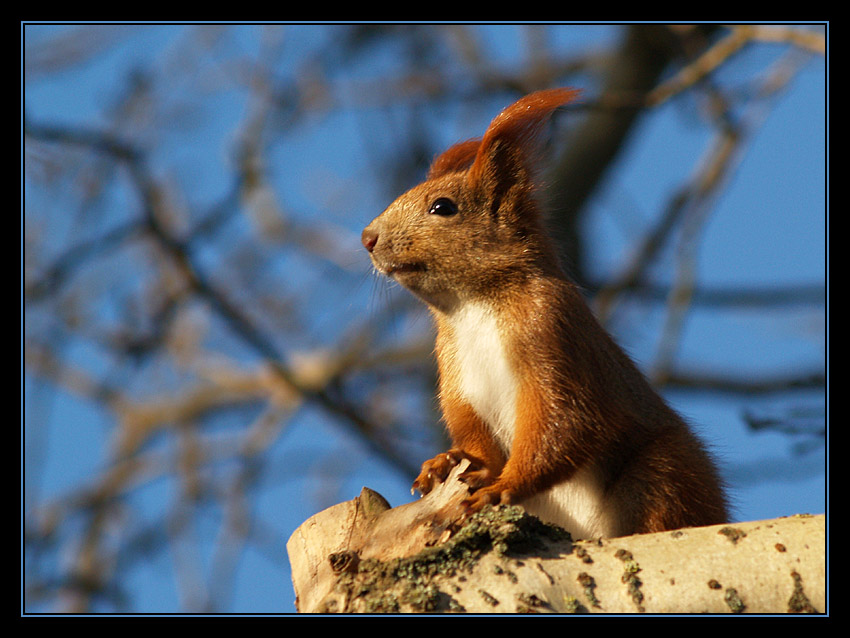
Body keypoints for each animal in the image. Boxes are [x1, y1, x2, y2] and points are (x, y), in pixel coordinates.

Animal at [362, 89, 724, 540]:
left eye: (442, 207)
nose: (367, 237)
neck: (472, 306)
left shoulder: (553, 332)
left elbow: (565, 424)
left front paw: (503, 489)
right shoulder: (457, 374)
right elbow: (474, 435)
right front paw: (446, 461)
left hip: (664, 471)